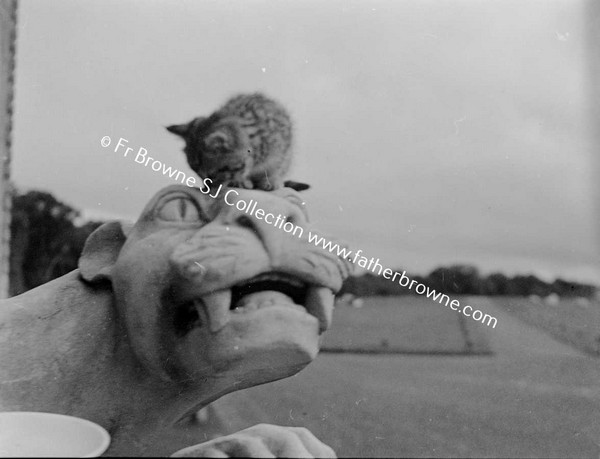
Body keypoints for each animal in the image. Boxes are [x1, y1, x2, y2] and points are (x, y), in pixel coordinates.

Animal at [166, 94, 296, 191]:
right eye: (198, 174)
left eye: (212, 175)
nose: (207, 189)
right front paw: (241, 182)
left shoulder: (283, 146)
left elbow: (277, 166)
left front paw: (271, 180)